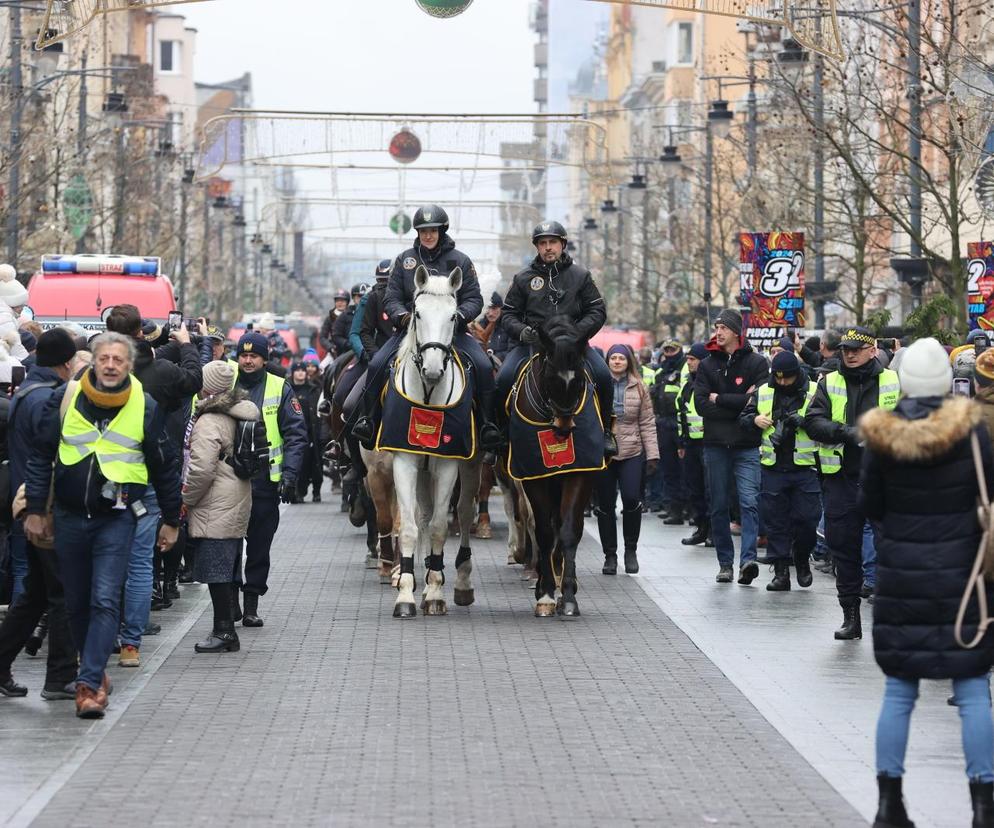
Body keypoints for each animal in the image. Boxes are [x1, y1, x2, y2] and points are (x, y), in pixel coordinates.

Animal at [390, 266, 478, 616]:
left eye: (454, 316)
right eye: (417, 313)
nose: (432, 369)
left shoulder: (447, 465)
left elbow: (441, 526)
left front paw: (437, 593)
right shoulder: (404, 461)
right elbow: (411, 526)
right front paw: (405, 595)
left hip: (471, 466)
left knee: (464, 512)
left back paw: (457, 583)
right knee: (424, 517)